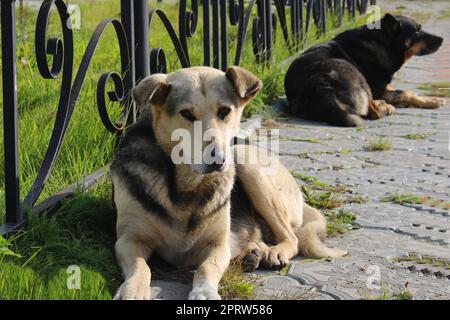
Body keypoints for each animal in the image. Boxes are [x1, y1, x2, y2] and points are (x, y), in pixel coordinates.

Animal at [110, 65, 346, 300]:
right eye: (186, 113)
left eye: (224, 111)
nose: (217, 159)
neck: (187, 184)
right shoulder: (129, 239)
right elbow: (141, 267)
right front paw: (133, 290)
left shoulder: (218, 243)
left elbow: (206, 267)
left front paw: (205, 291)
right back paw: (253, 252)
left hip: (244, 160)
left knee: (292, 237)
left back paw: (273, 252)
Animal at [284, 13, 442, 127]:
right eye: (417, 31)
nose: (442, 39)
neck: (382, 43)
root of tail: (320, 87)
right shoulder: (378, 90)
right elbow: (406, 92)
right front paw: (432, 101)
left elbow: (400, 89)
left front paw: (432, 98)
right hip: (351, 70)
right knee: (372, 111)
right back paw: (385, 107)